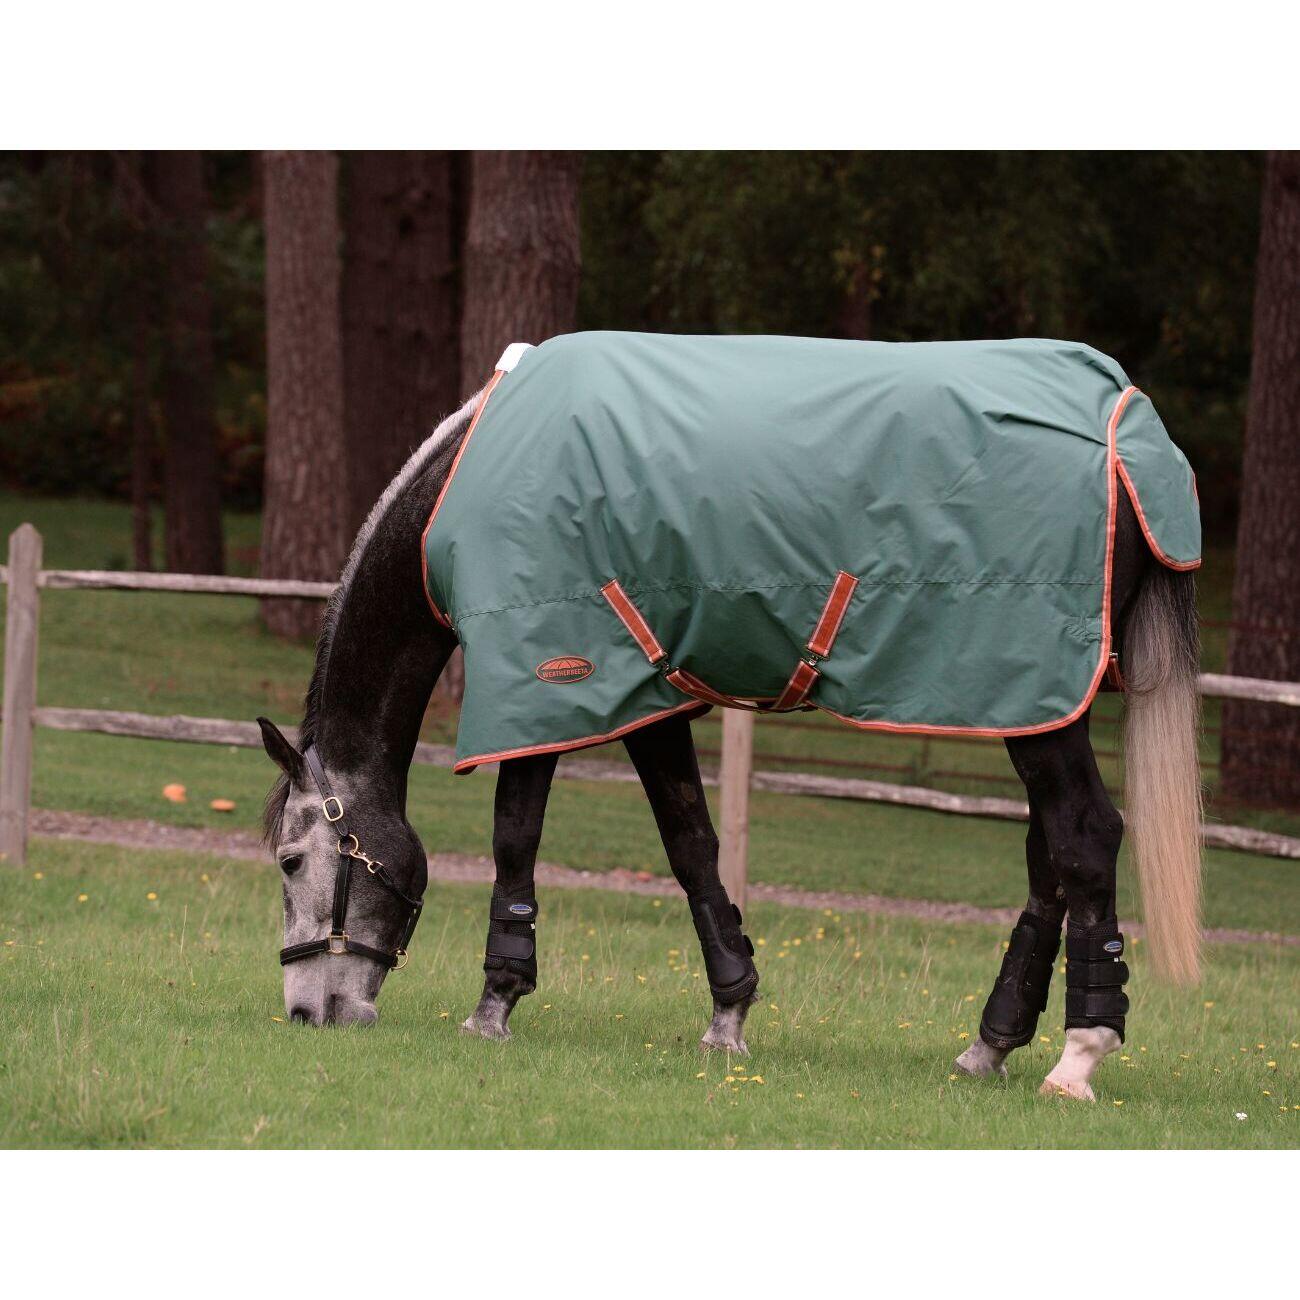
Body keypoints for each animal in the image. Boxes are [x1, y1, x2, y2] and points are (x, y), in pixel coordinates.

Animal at [260, 333, 1202, 1103]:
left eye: (291, 861)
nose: (309, 1014)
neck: (474, 476)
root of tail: (1128, 433)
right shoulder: (641, 696)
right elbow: (692, 844)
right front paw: (729, 1013)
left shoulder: (548, 685)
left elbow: (516, 838)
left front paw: (495, 1003)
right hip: (1031, 702)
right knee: (1051, 857)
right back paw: (990, 1045)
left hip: (1035, 702)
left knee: (1084, 838)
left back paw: (1078, 1055)